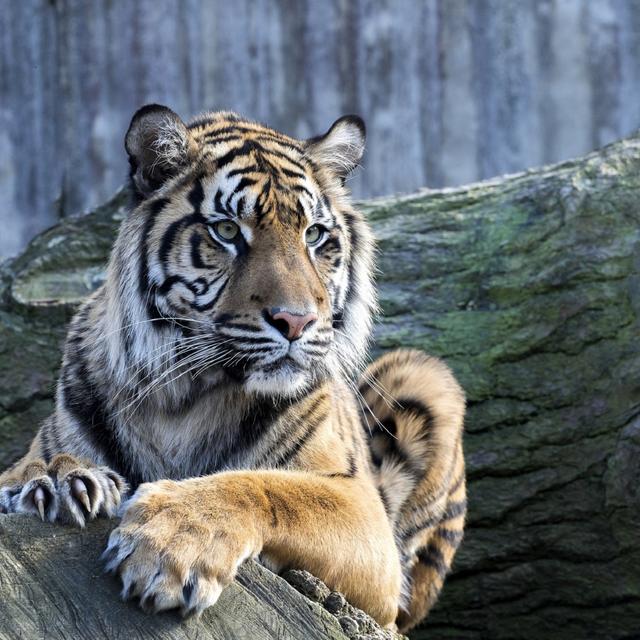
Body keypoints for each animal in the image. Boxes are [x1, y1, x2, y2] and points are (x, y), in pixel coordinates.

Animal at [0, 104, 466, 633]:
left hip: (423, 376)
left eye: (314, 235)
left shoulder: (362, 509)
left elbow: (270, 488)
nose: (296, 321)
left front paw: (171, 543)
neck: (183, 397)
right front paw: (57, 479)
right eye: (226, 231)